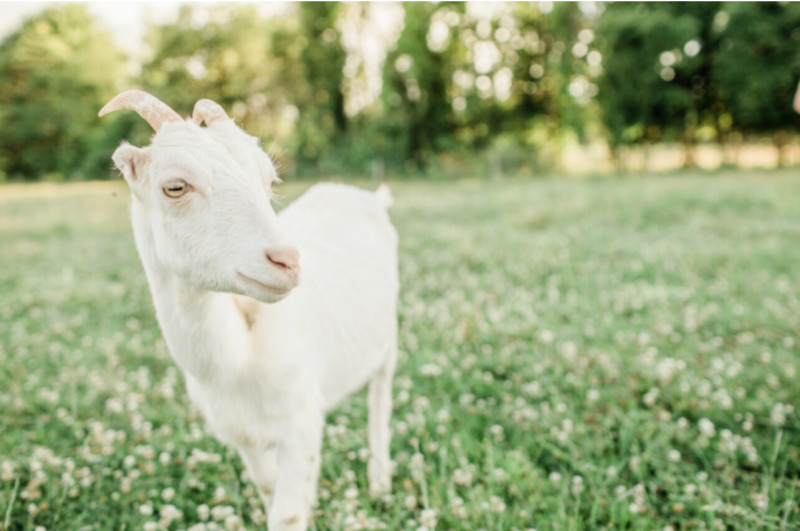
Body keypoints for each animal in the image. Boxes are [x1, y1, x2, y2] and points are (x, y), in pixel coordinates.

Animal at [99, 90, 398, 530]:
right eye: (175, 186)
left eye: (269, 180)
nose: (287, 260)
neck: (235, 361)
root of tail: (363, 195)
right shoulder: (240, 434)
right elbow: (269, 487)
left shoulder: (302, 422)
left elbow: (288, 513)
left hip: (388, 334)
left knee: (381, 397)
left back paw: (379, 481)